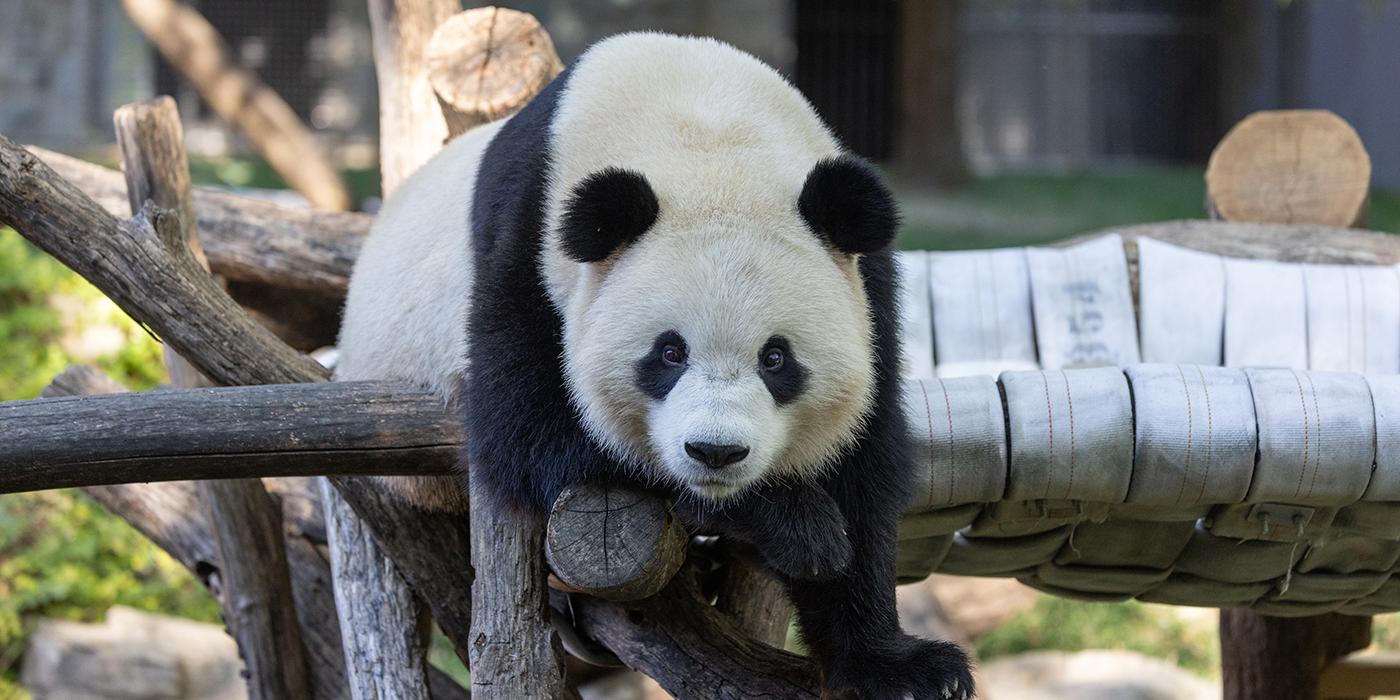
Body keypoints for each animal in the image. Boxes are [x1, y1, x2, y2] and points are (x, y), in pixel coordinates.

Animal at [338, 31, 974, 694]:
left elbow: (864, 465)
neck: (705, 131)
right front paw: (795, 526)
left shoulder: (866, 286)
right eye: (669, 353)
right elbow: (529, 429)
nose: (715, 453)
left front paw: (900, 666)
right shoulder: (525, 244)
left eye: (776, 358)